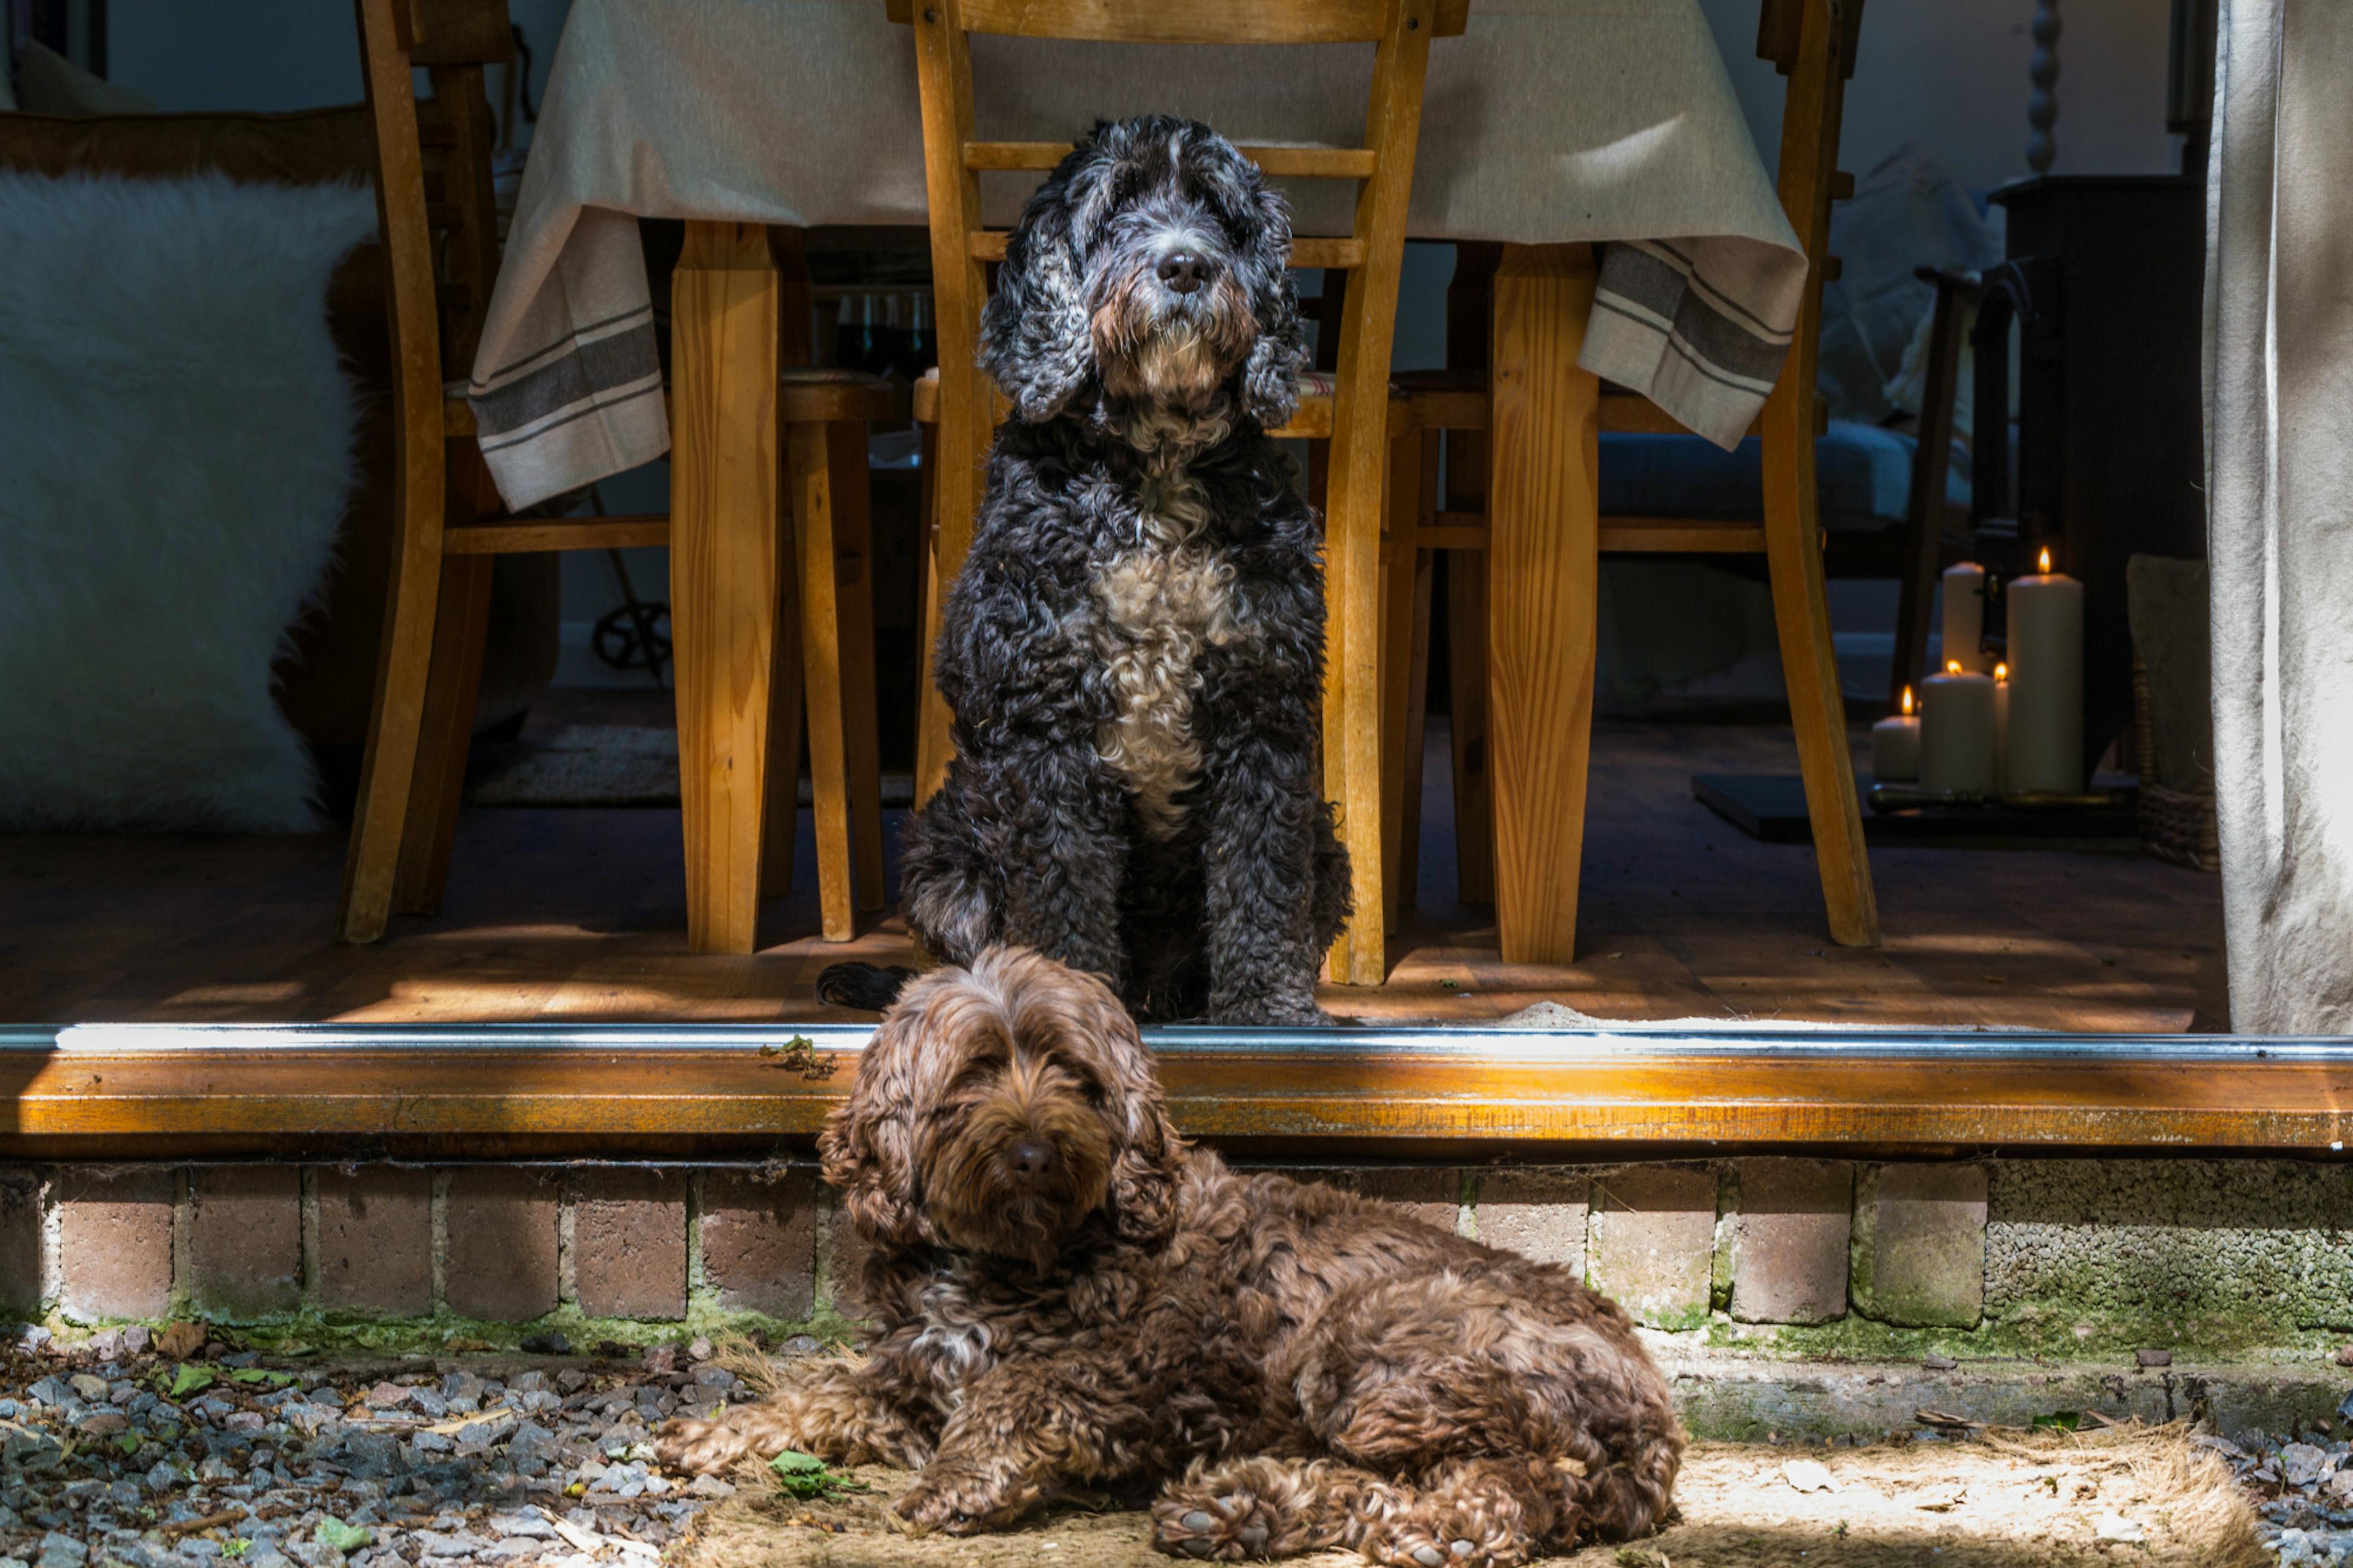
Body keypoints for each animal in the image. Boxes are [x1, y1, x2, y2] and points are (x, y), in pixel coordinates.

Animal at [657, 949, 1684, 1566]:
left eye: (1074, 1073)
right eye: (975, 1070)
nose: (1034, 1150)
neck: (1017, 1254)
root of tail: (1654, 1416)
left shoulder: (1153, 1365)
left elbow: (1022, 1385)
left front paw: (958, 1477)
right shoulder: (914, 1370)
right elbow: (827, 1387)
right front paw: (719, 1429)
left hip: (1373, 1354)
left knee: (1506, 1492)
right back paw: (1239, 1507)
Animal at [870, 116, 1348, 1027]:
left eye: (1217, 209)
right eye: (1118, 204)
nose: (1186, 265)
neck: (1155, 470)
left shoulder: (1263, 713)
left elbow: (1262, 883)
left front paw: (1268, 1014)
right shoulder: (1046, 727)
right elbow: (1062, 892)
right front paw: (1065, 1002)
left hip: (1329, 842)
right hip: (942, 855)